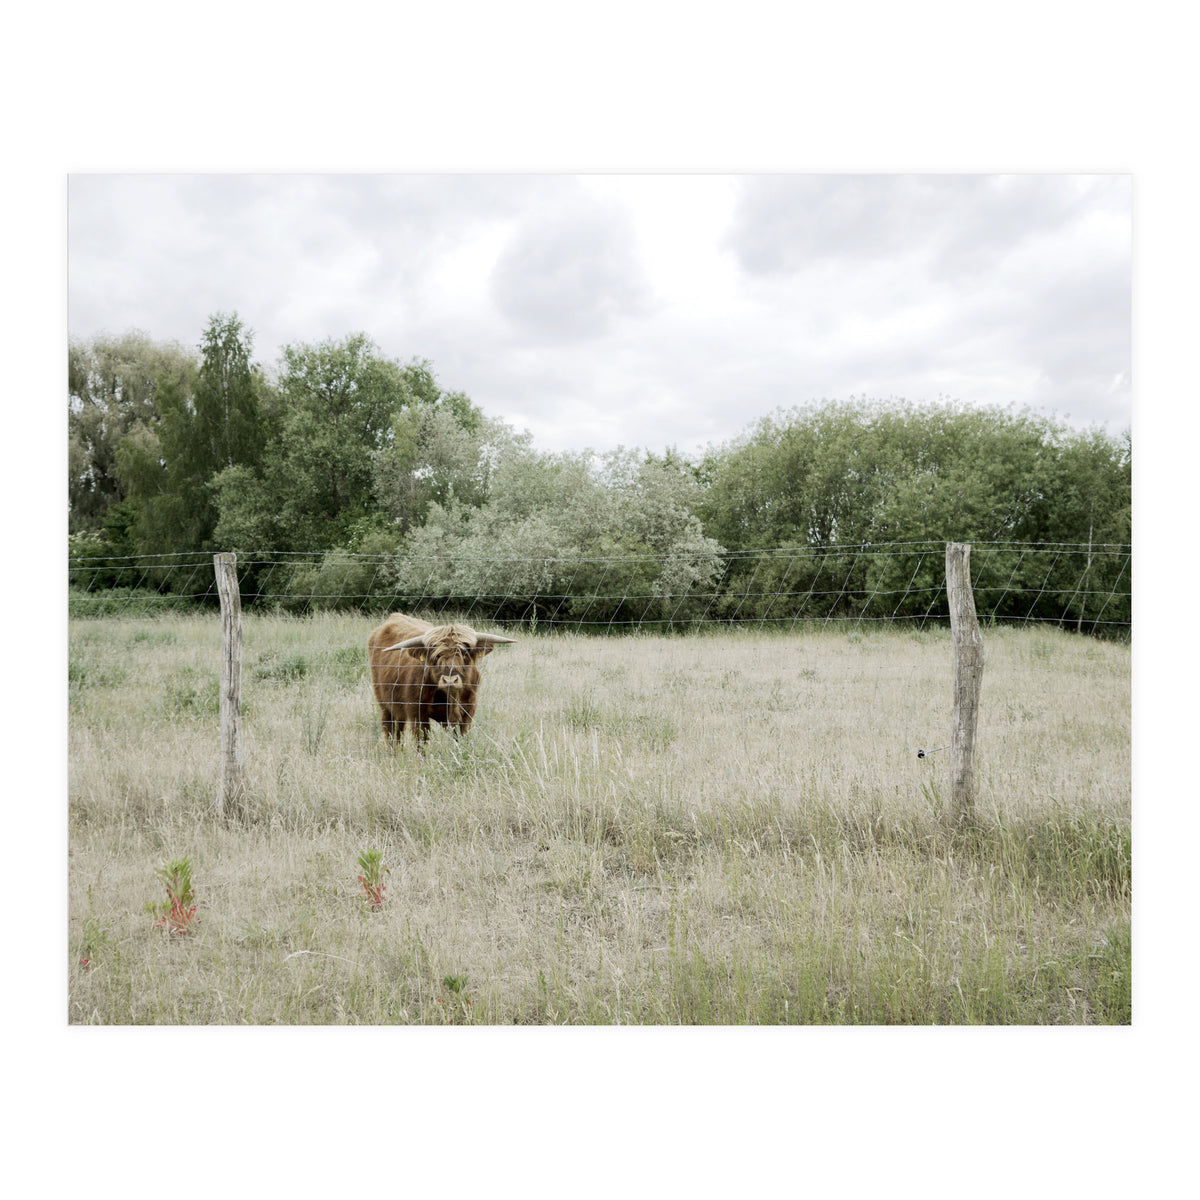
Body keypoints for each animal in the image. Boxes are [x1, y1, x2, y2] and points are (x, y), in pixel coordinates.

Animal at [367, 613, 515, 745]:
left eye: (464, 653)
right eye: (436, 656)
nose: (450, 681)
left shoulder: (467, 713)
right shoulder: (418, 714)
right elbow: (422, 743)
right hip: (385, 705)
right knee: (391, 731)